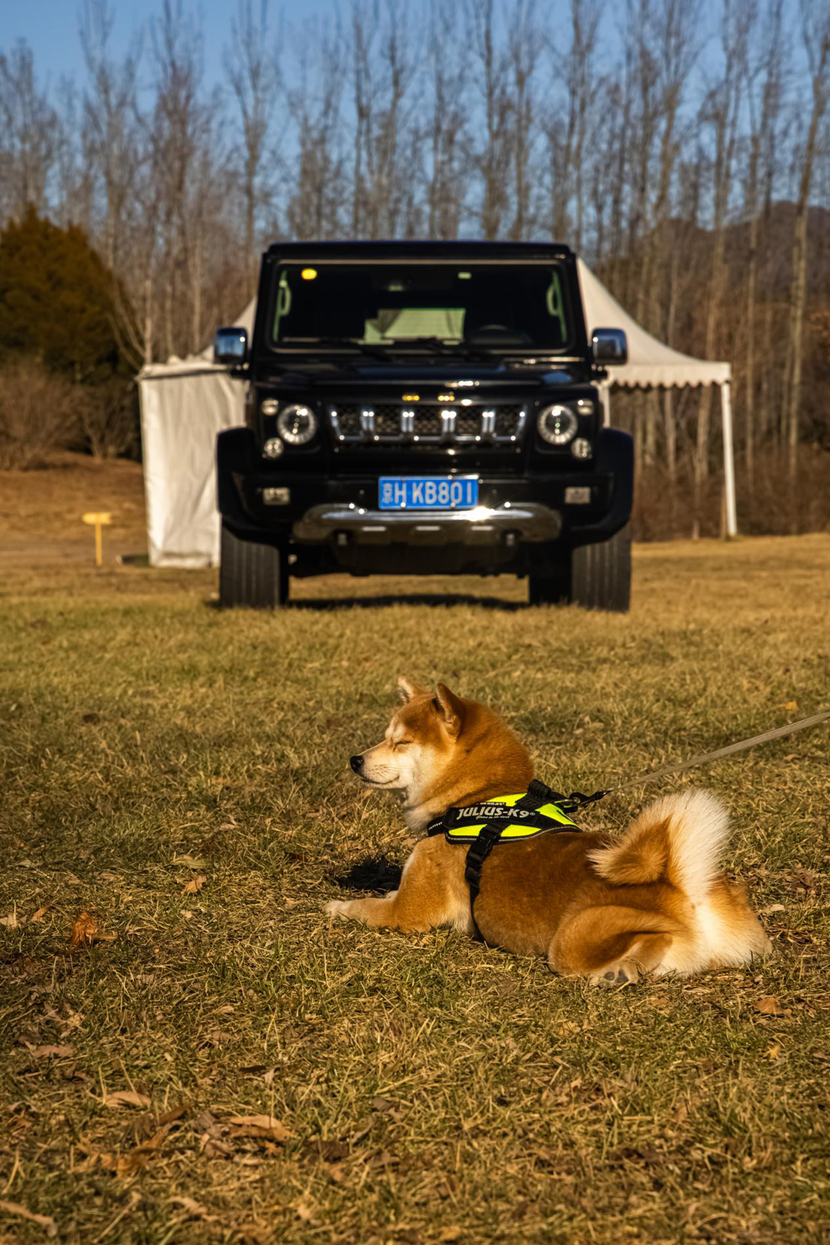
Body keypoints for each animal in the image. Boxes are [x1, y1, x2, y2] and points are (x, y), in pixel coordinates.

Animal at [323, 682, 771, 981]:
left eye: (401, 742)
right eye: (386, 738)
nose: (355, 759)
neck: (477, 799)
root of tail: (682, 888)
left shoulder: (409, 911)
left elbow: (369, 907)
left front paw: (338, 907)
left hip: (573, 940)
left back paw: (623, 969)